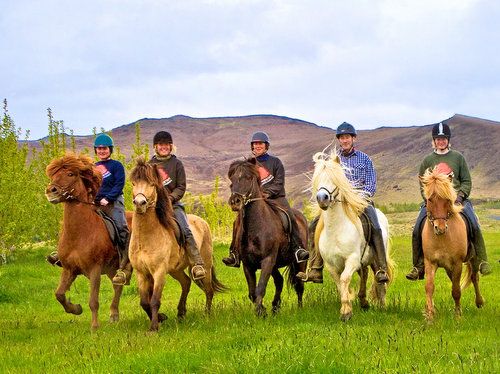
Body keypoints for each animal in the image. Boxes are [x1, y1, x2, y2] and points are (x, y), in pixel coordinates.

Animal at [45, 153, 131, 328]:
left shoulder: (94, 270)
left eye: (70, 174)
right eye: (54, 175)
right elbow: (59, 294)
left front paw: (94, 327)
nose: (51, 191)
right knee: (117, 287)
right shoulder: (69, 269)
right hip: (112, 269)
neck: (80, 233)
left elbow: (93, 301)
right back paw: (114, 315)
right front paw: (76, 309)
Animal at [129, 156, 225, 332]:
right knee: (186, 283)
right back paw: (181, 313)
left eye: (152, 184)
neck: (146, 237)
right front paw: (161, 318)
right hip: (175, 269)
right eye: (133, 183)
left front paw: (153, 328)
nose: (140, 203)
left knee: (208, 290)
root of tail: (203, 222)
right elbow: (144, 302)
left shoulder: (159, 271)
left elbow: (155, 300)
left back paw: (206, 315)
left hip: (205, 266)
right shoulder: (141, 272)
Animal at [228, 157, 306, 316]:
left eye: (248, 177)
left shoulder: (267, 260)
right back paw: (275, 306)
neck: (256, 227)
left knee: (299, 285)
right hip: (275, 265)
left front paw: (260, 312)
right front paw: (263, 310)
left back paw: (299, 308)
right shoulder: (248, 265)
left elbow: (261, 287)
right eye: (232, 179)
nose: (235, 202)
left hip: (299, 263)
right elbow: (252, 292)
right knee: (280, 281)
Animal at [310, 150, 392, 320]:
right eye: (318, 178)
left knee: (380, 281)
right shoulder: (331, 265)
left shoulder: (352, 260)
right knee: (364, 274)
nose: (322, 198)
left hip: (376, 259)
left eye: (334, 179)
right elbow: (339, 283)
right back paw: (363, 302)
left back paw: (382, 306)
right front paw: (346, 306)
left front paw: (346, 312)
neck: (336, 229)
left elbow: (345, 279)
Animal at [420, 167, 482, 322]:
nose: (440, 228)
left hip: (472, 259)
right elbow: (429, 287)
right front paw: (430, 315)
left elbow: (456, 290)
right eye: (430, 199)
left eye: (447, 199)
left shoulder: (457, 263)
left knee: (474, 277)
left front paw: (458, 315)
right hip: (448, 267)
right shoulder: (430, 262)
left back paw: (479, 302)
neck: (443, 238)